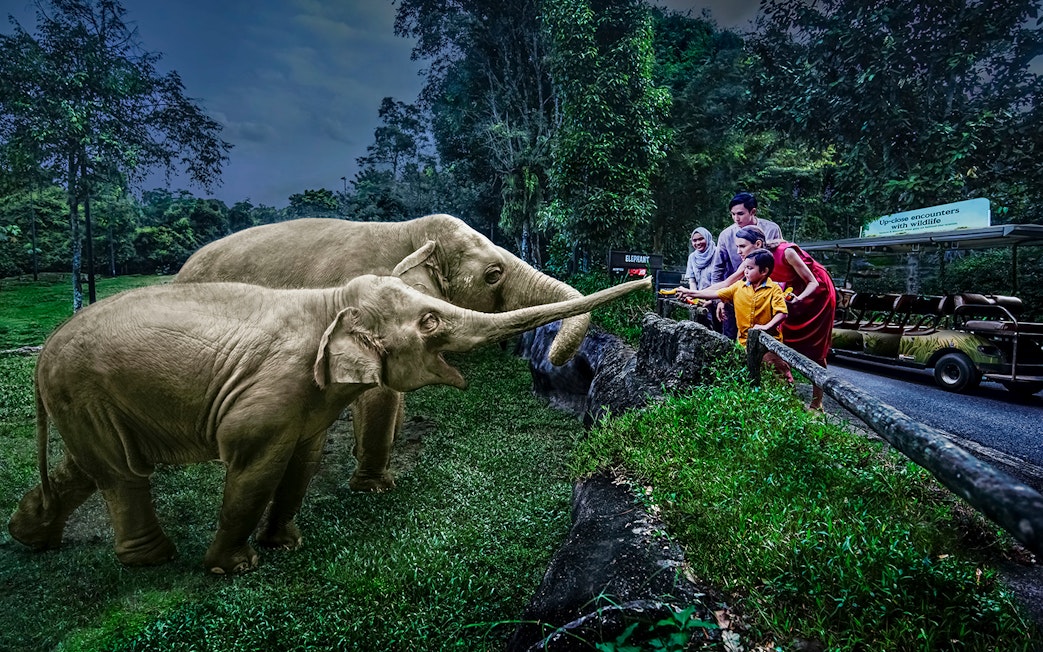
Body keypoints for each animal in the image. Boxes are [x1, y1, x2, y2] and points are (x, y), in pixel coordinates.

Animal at [8, 254, 650, 574]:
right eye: (431, 321)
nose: (644, 282)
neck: (330, 301)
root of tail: (43, 353)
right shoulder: (269, 394)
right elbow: (254, 468)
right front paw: (233, 569)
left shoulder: (306, 400)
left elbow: (304, 458)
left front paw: (285, 546)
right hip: (83, 390)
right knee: (121, 473)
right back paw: (154, 560)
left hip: (85, 399)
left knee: (92, 466)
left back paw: (29, 537)